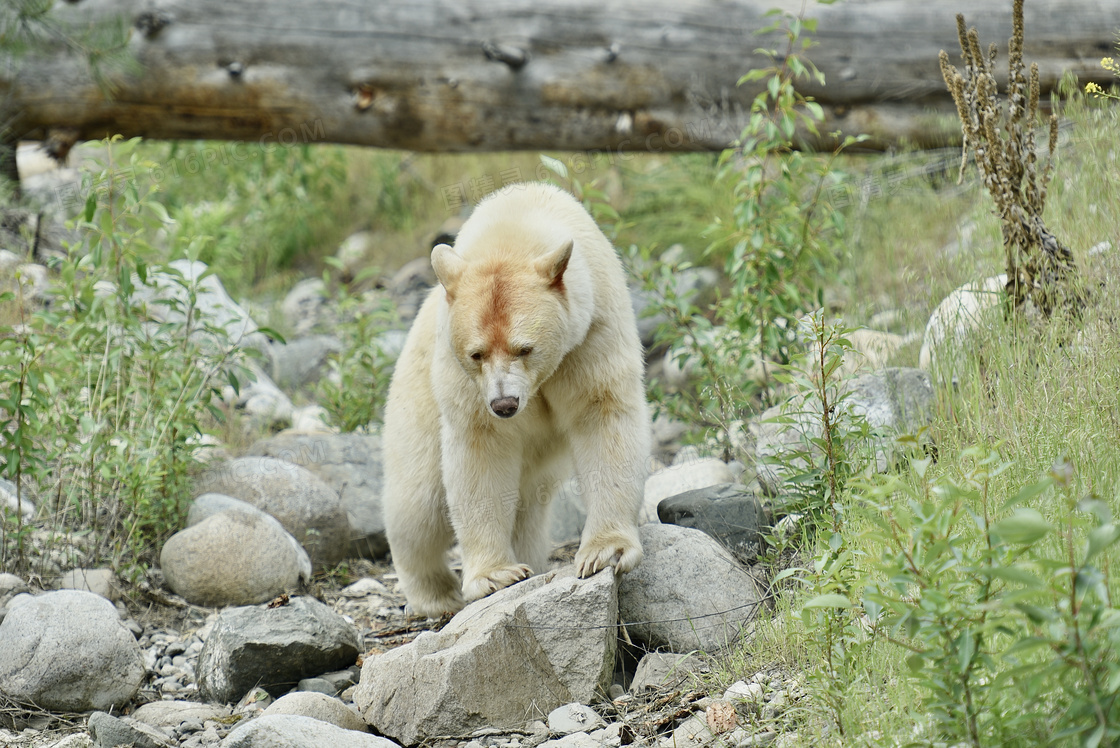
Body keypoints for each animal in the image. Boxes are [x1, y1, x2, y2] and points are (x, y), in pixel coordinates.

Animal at [383, 183, 654, 618]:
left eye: (525, 348)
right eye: (476, 353)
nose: (505, 404)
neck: (516, 220)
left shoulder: (593, 333)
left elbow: (602, 415)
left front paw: (605, 552)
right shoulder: (464, 381)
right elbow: (480, 449)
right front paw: (496, 575)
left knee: (526, 505)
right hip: (416, 396)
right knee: (418, 503)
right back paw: (434, 595)